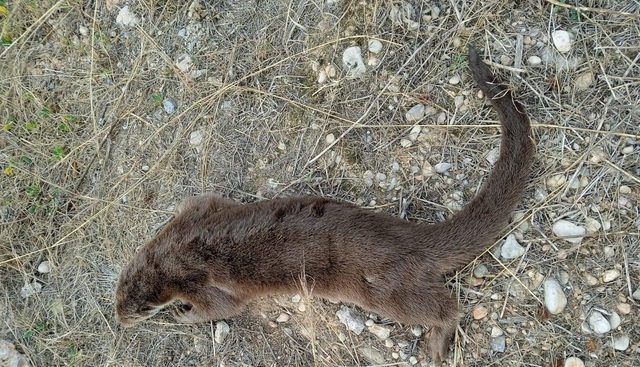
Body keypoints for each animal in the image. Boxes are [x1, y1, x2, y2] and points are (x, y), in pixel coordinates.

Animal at [115, 46, 536, 366]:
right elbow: (202, 199)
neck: (174, 250)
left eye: (136, 309)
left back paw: (436, 345)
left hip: (387, 288)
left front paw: (183, 314)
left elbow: (221, 309)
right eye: (116, 295)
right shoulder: (200, 213)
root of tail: (410, 238)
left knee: (443, 307)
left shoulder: (205, 282)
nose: (120, 321)